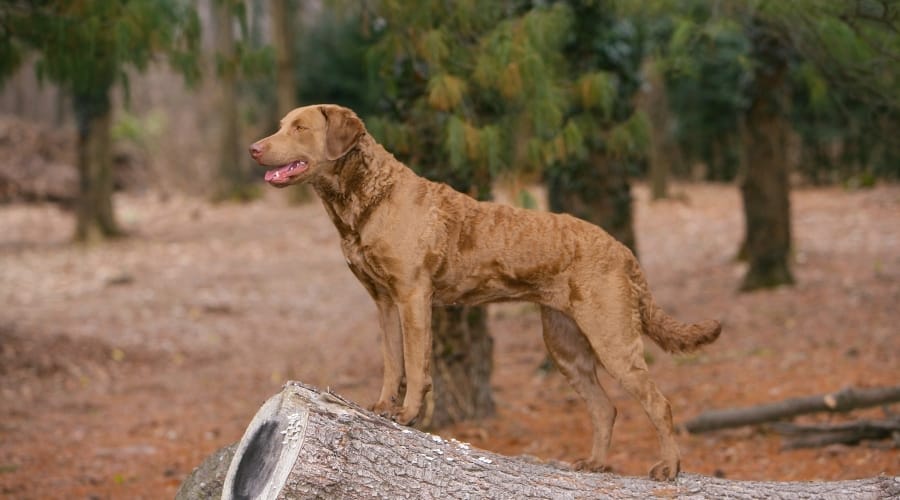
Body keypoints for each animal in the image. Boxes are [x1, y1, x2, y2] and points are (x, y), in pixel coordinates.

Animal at [250, 104, 720, 480]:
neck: (366, 199)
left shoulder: (413, 294)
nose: (254, 148)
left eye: (300, 128)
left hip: (611, 334)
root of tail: (623, 250)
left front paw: (409, 414)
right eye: (280, 125)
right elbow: (391, 361)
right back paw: (596, 464)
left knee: (658, 402)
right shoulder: (382, 300)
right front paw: (381, 407)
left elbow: (416, 365)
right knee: (605, 407)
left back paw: (669, 469)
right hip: (565, 343)